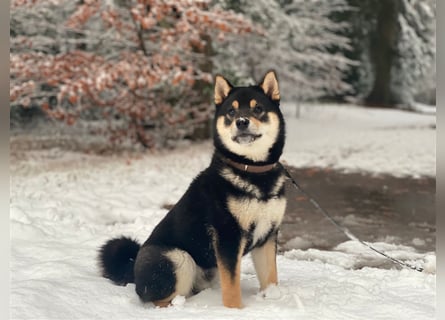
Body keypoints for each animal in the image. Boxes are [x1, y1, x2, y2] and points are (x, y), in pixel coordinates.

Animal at [97, 70, 286, 308]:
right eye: (231, 111)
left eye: (258, 108)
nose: (241, 122)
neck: (253, 170)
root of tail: (134, 267)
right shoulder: (227, 235)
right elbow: (232, 286)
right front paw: (235, 310)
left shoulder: (268, 234)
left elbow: (271, 276)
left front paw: (273, 298)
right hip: (177, 258)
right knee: (156, 298)